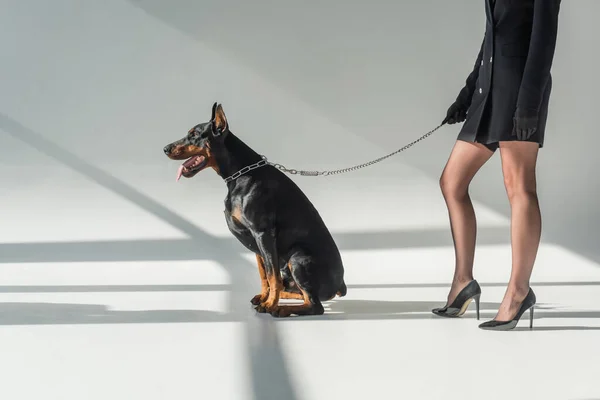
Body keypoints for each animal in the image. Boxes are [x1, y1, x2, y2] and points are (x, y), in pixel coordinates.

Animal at [163, 104, 346, 318]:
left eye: (194, 134)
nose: (165, 148)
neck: (240, 174)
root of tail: (341, 284)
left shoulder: (262, 233)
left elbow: (272, 276)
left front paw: (270, 305)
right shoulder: (255, 239)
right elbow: (264, 274)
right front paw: (266, 298)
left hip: (298, 256)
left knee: (315, 305)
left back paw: (282, 309)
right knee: (299, 292)